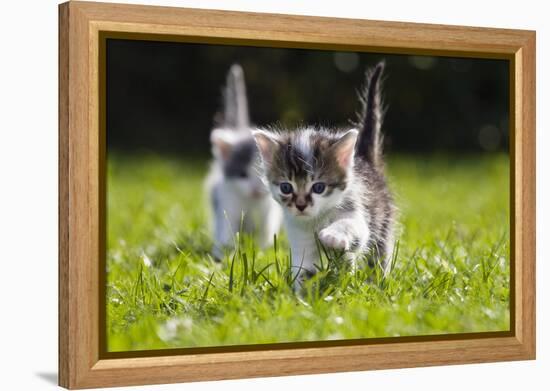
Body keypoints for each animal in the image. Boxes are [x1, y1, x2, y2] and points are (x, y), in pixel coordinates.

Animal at [207, 64, 284, 260]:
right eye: (242, 175)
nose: (255, 190)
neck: (251, 202)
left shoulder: (269, 211)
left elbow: (265, 233)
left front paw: (262, 253)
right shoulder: (227, 204)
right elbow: (227, 230)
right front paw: (223, 255)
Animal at [254, 62, 396, 286]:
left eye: (319, 187)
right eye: (286, 187)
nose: (301, 205)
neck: (316, 219)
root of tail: (366, 160)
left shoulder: (357, 213)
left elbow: (351, 226)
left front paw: (333, 236)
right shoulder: (300, 237)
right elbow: (305, 269)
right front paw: (301, 292)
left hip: (383, 222)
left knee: (378, 255)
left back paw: (376, 281)